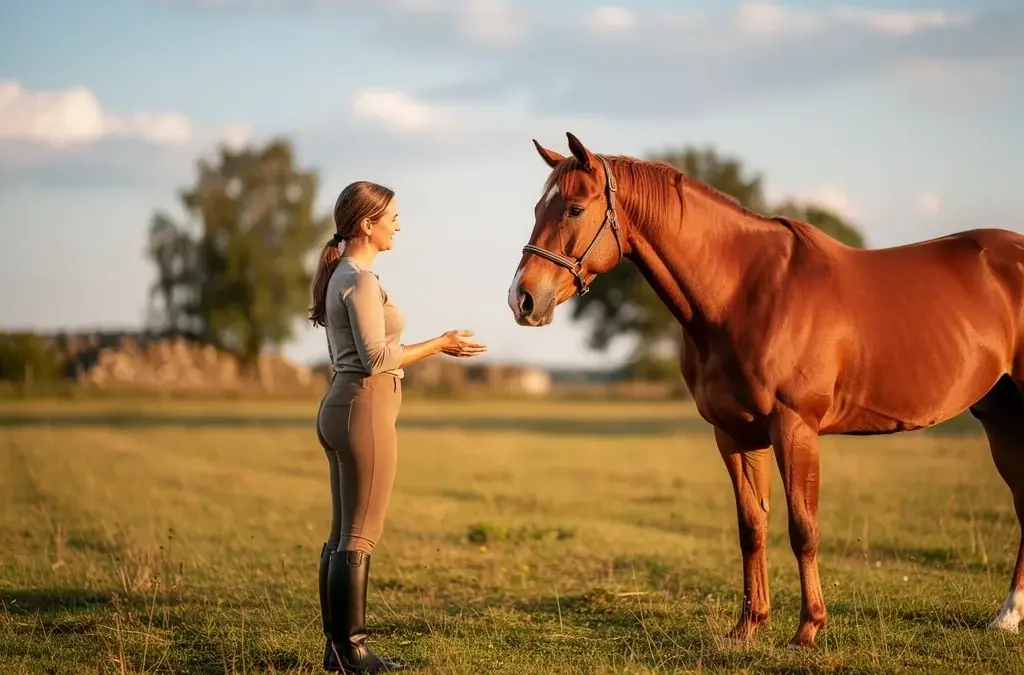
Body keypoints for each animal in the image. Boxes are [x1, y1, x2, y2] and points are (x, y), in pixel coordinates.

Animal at [507, 131, 1024, 648]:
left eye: (575, 208)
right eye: (536, 208)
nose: (522, 299)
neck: (745, 292)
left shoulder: (795, 428)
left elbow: (803, 527)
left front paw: (807, 628)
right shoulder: (734, 434)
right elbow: (752, 525)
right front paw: (748, 625)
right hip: (1000, 417)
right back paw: (1007, 616)